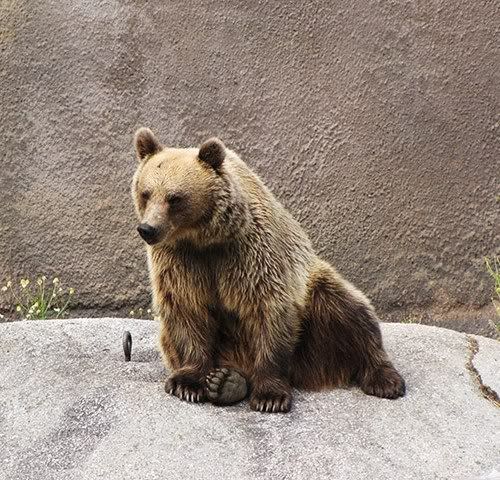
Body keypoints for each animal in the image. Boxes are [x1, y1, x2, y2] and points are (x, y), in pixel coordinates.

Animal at [131, 127, 404, 412]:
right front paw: (187, 383)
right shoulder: (181, 260)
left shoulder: (250, 253)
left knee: (352, 313)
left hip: (315, 307)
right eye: (146, 192)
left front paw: (269, 396)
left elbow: (267, 309)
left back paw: (384, 379)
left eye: (174, 198)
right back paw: (226, 382)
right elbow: (186, 310)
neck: (206, 238)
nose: (147, 229)